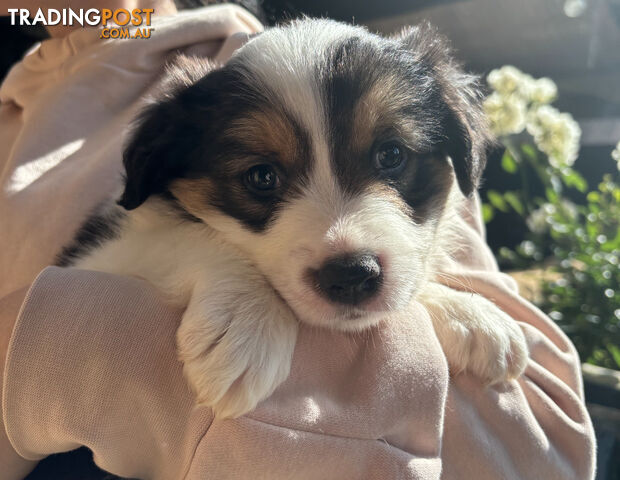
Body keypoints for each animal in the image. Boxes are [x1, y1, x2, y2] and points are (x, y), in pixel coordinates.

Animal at [57, 18, 528, 418]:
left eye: (391, 154)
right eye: (262, 176)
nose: (351, 276)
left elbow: (413, 274)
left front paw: (469, 313)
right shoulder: (96, 253)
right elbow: (182, 235)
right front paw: (248, 322)